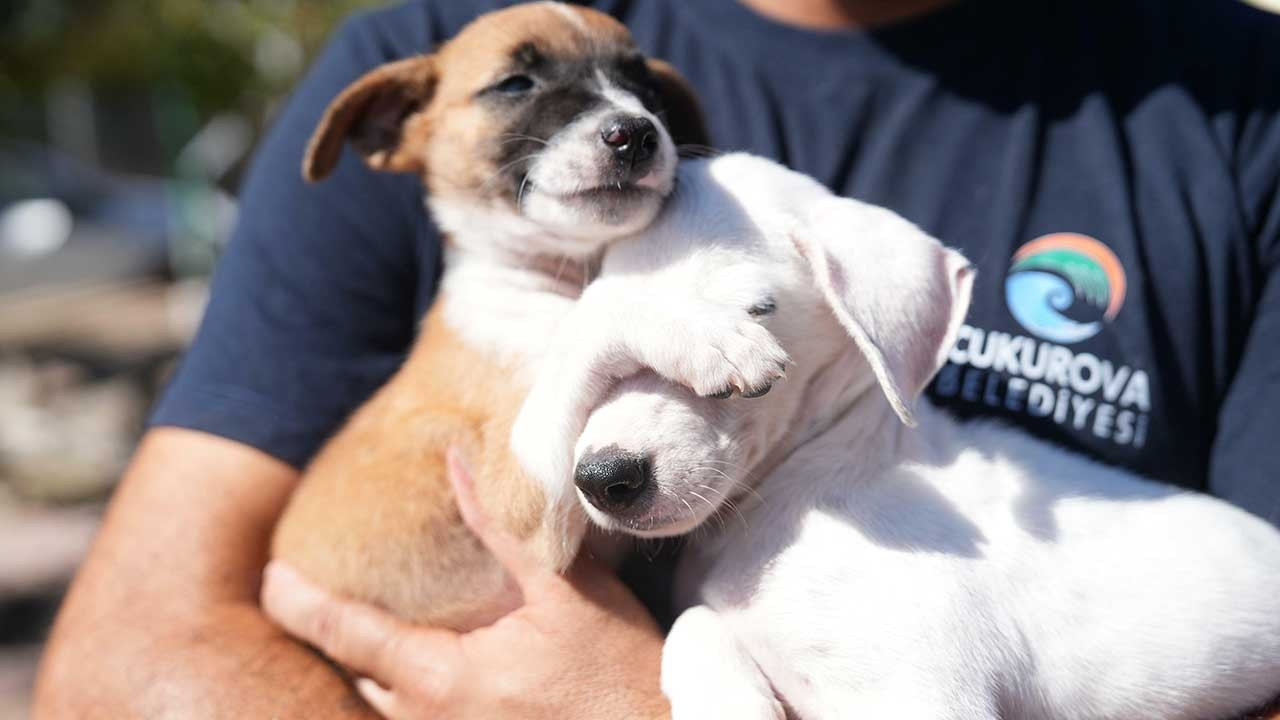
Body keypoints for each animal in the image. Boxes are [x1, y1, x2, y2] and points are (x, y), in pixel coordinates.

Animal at [272, 1, 711, 627]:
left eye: (646, 88)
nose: (635, 133)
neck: (555, 278)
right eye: (515, 83)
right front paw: (712, 334)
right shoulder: (518, 502)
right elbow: (598, 316)